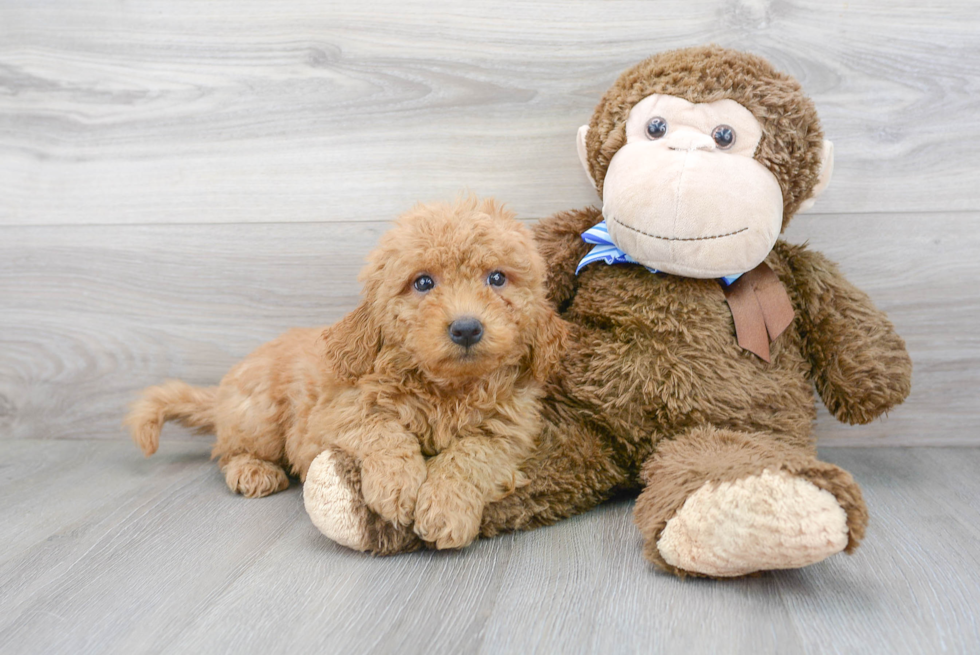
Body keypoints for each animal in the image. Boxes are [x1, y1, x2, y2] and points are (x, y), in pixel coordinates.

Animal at [124, 197, 568, 552]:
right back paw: (253, 471)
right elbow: (383, 430)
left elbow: (471, 455)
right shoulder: (337, 411)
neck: (447, 389)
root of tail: (221, 394)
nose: (466, 329)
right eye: (423, 282)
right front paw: (397, 485)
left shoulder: (509, 433)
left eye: (497, 278)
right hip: (259, 416)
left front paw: (445, 508)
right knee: (229, 450)